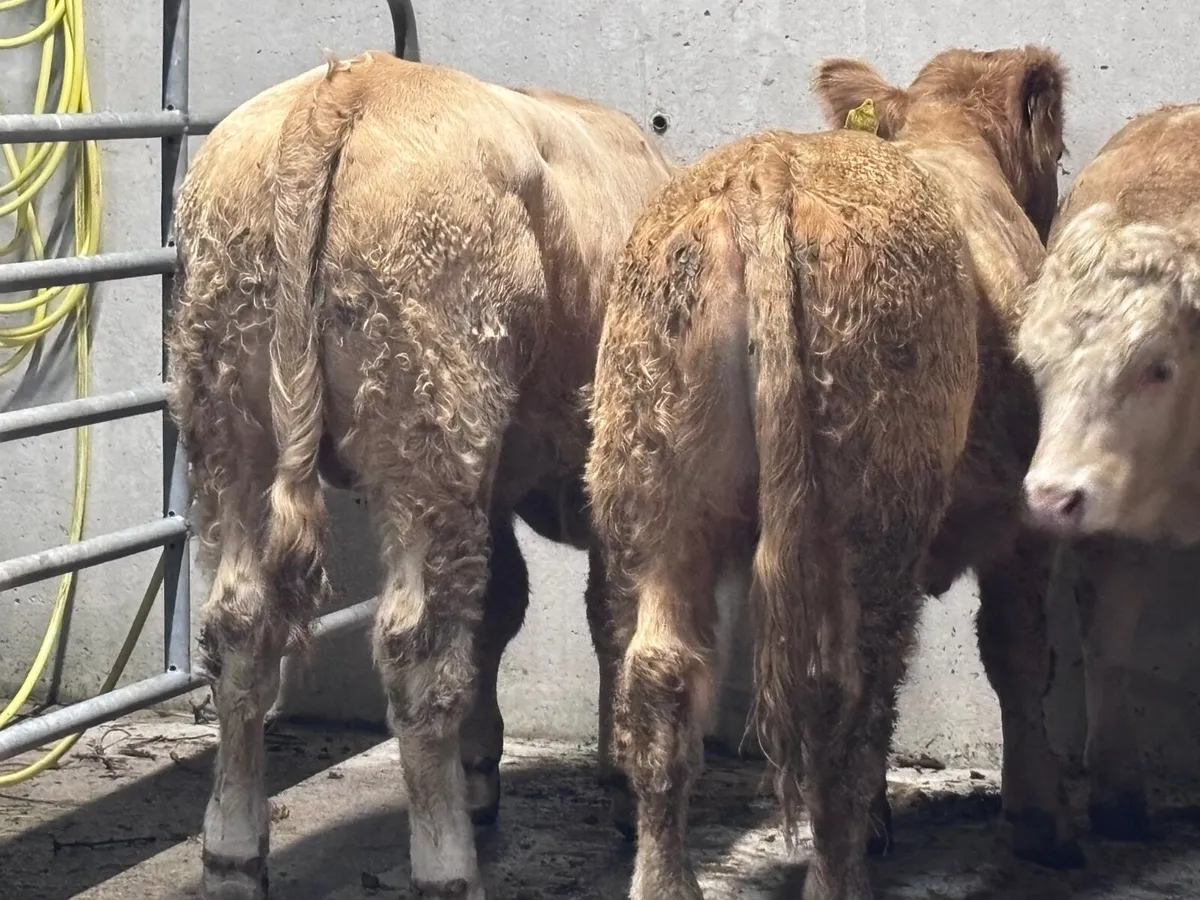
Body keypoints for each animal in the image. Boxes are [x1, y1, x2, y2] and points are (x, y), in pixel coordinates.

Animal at [166, 51, 672, 900]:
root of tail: (348, 82)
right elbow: (610, 618)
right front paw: (623, 788)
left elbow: (506, 607)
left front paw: (484, 766)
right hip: (432, 434)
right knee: (418, 648)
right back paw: (446, 863)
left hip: (232, 425)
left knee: (238, 625)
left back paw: (233, 851)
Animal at [583, 46, 1069, 900]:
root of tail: (765, 168)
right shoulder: (1022, 522)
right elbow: (1017, 657)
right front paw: (1040, 822)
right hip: (866, 511)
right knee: (846, 690)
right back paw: (839, 875)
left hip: (655, 487)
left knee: (661, 677)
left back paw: (666, 879)